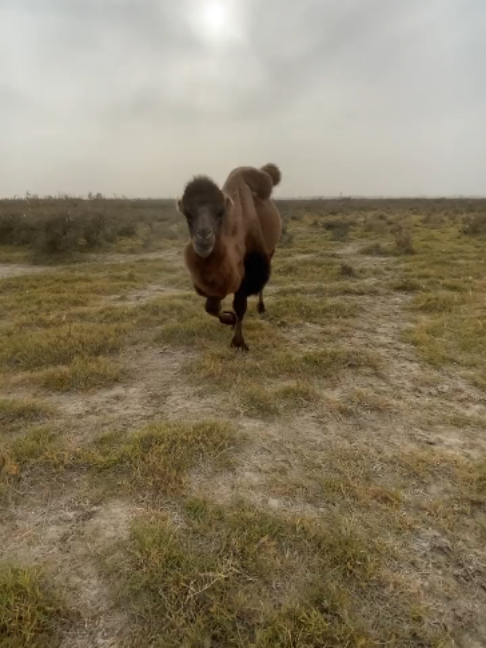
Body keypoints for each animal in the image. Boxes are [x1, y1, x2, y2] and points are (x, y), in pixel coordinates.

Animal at [176, 163, 282, 350]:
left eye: (220, 213)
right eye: (188, 215)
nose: (203, 236)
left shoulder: (249, 270)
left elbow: (240, 305)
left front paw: (238, 342)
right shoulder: (218, 279)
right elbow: (211, 307)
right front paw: (230, 319)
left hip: (270, 252)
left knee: (262, 284)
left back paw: (261, 308)